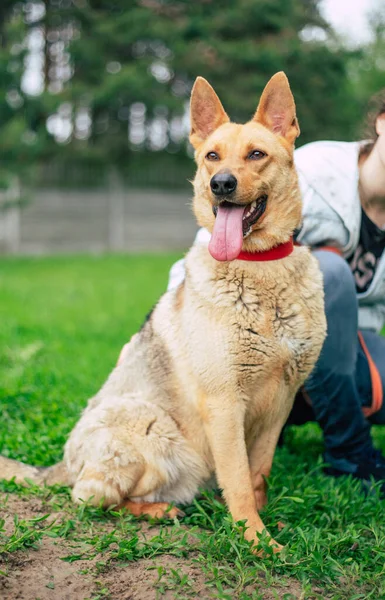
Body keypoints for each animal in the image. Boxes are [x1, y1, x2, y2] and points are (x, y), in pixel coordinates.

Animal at [0, 72, 326, 552]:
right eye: (212, 156)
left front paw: (265, 523)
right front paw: (256, 541)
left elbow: (258, 475)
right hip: (154, 429)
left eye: (257, 154)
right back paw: (157, 510)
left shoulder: (280, 402)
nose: (221, 184)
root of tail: (63, 463)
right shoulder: (225, 404)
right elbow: (239, 481)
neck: (260, 268)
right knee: (91, 497)